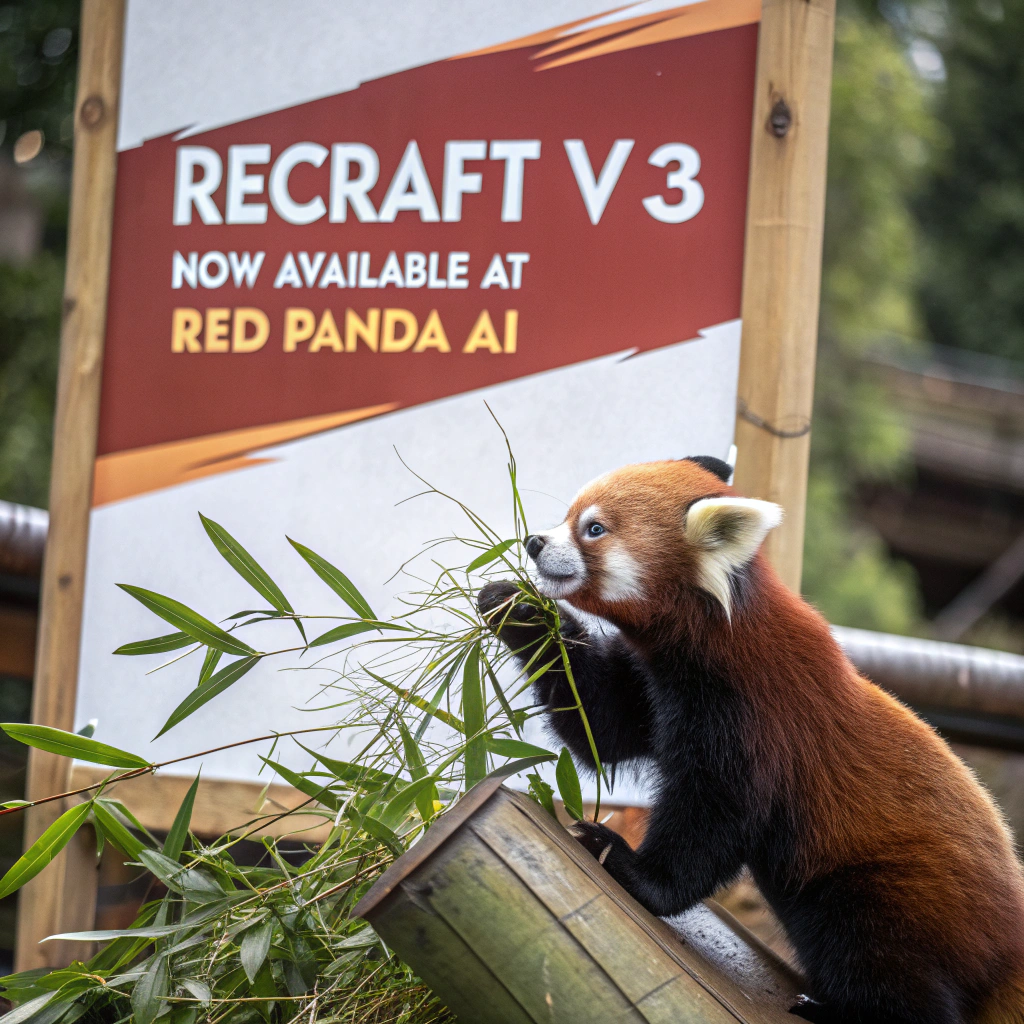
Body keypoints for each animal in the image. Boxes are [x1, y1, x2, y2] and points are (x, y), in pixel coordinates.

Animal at [478, 456, 1024, 1024]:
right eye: (569, 517)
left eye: (594, 529)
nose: (534, 542)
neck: (710, 642)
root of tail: (1009, 953)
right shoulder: (654, 688)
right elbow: (601, 724)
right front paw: (516, 610)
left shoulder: (757, 718)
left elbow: (715, 816)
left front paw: (631, 865)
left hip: (895, 896)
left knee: (884, 964)